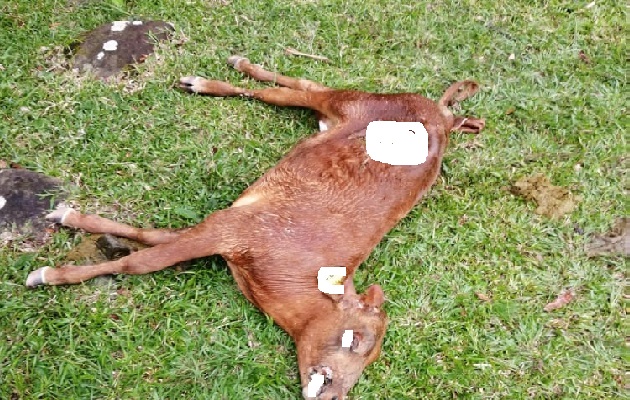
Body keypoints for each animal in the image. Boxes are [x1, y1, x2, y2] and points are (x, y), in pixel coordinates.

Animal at [27, 57, 486, 400]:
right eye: (355, 339)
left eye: (371, 359)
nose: (334, 393)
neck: (277, 276)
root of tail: (443, 116)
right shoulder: (235, 226)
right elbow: (140, 262)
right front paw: (50, 273)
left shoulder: (227, 227)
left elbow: (152, 238)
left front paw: (70, 219)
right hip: (359, 101)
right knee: (290, 90)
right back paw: (214, 77)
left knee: (299, 87)